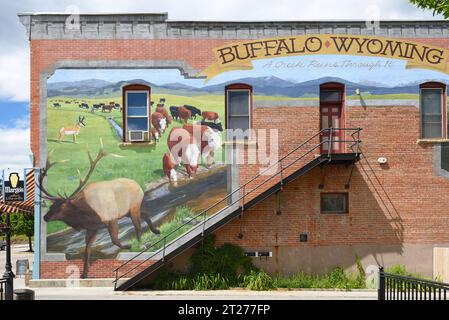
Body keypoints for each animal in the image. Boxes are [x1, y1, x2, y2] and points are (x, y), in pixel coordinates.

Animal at [39, 142, 159, 278]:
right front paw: (84, 274)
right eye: (51, 206)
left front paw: (128, 245)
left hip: (134, 206)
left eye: (62, 207)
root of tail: (139, 185)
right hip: (127, 212)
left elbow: (114, 240)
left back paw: (141, 243)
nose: (45, 217)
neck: (87, 214)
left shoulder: (111, 219)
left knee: (137, 225)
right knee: (145, 214)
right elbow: (87, 249)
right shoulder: (92, 228)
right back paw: (156, 231)